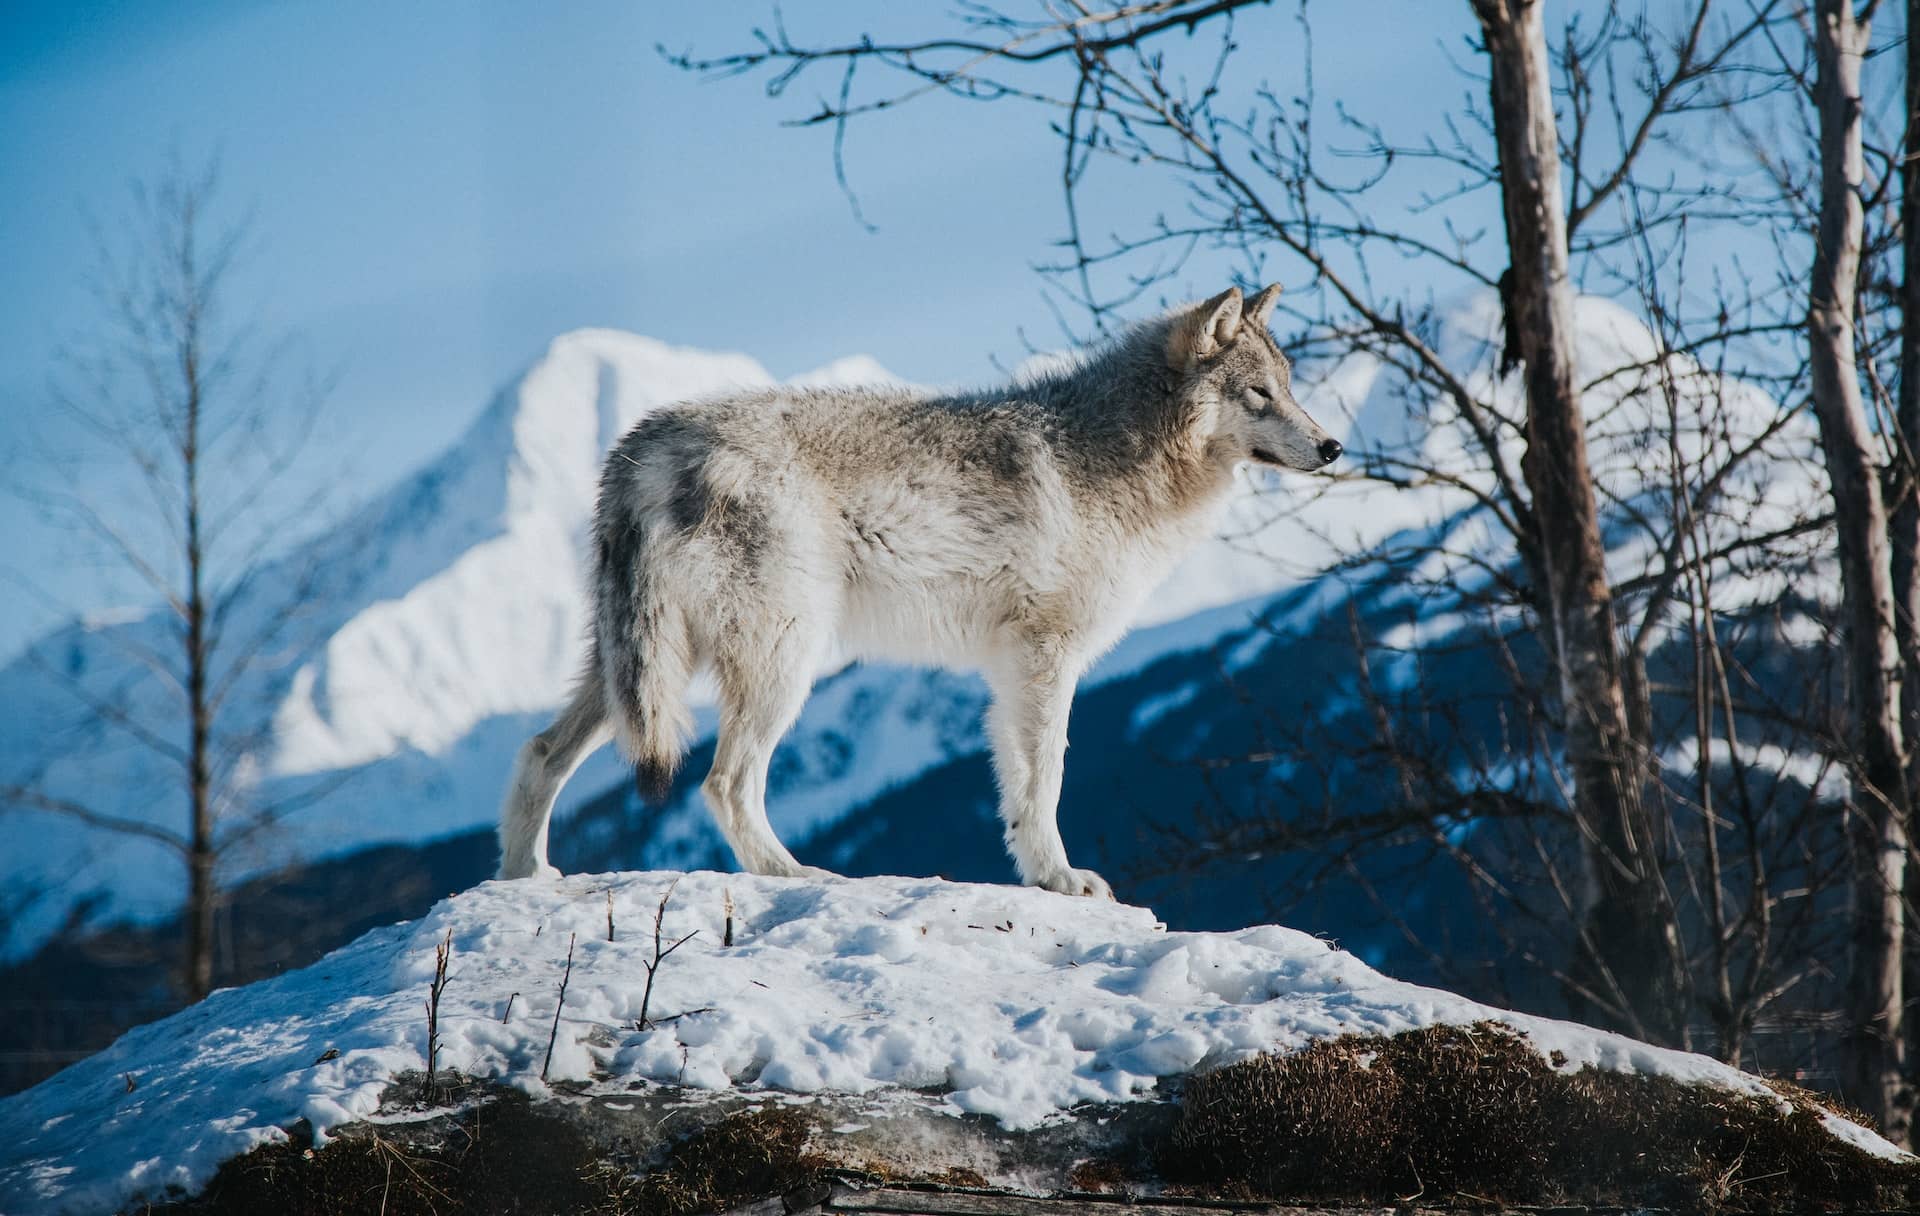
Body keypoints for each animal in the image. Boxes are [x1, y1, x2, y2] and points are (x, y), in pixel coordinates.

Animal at [497, 284, 1341, 897]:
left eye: (1290, 388)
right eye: (1259, 394)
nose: (1335, 446)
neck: (1122, 454)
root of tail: (639, 447)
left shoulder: (1011, 672)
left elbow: (1018, 787)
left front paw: (1039, 873)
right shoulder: (1045, 658)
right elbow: (1048, 780)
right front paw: (1062, 878)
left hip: (634, 673)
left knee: (540, 752)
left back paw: (524, 877)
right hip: (780, 664)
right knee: (725, 783)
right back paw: (795, 874)